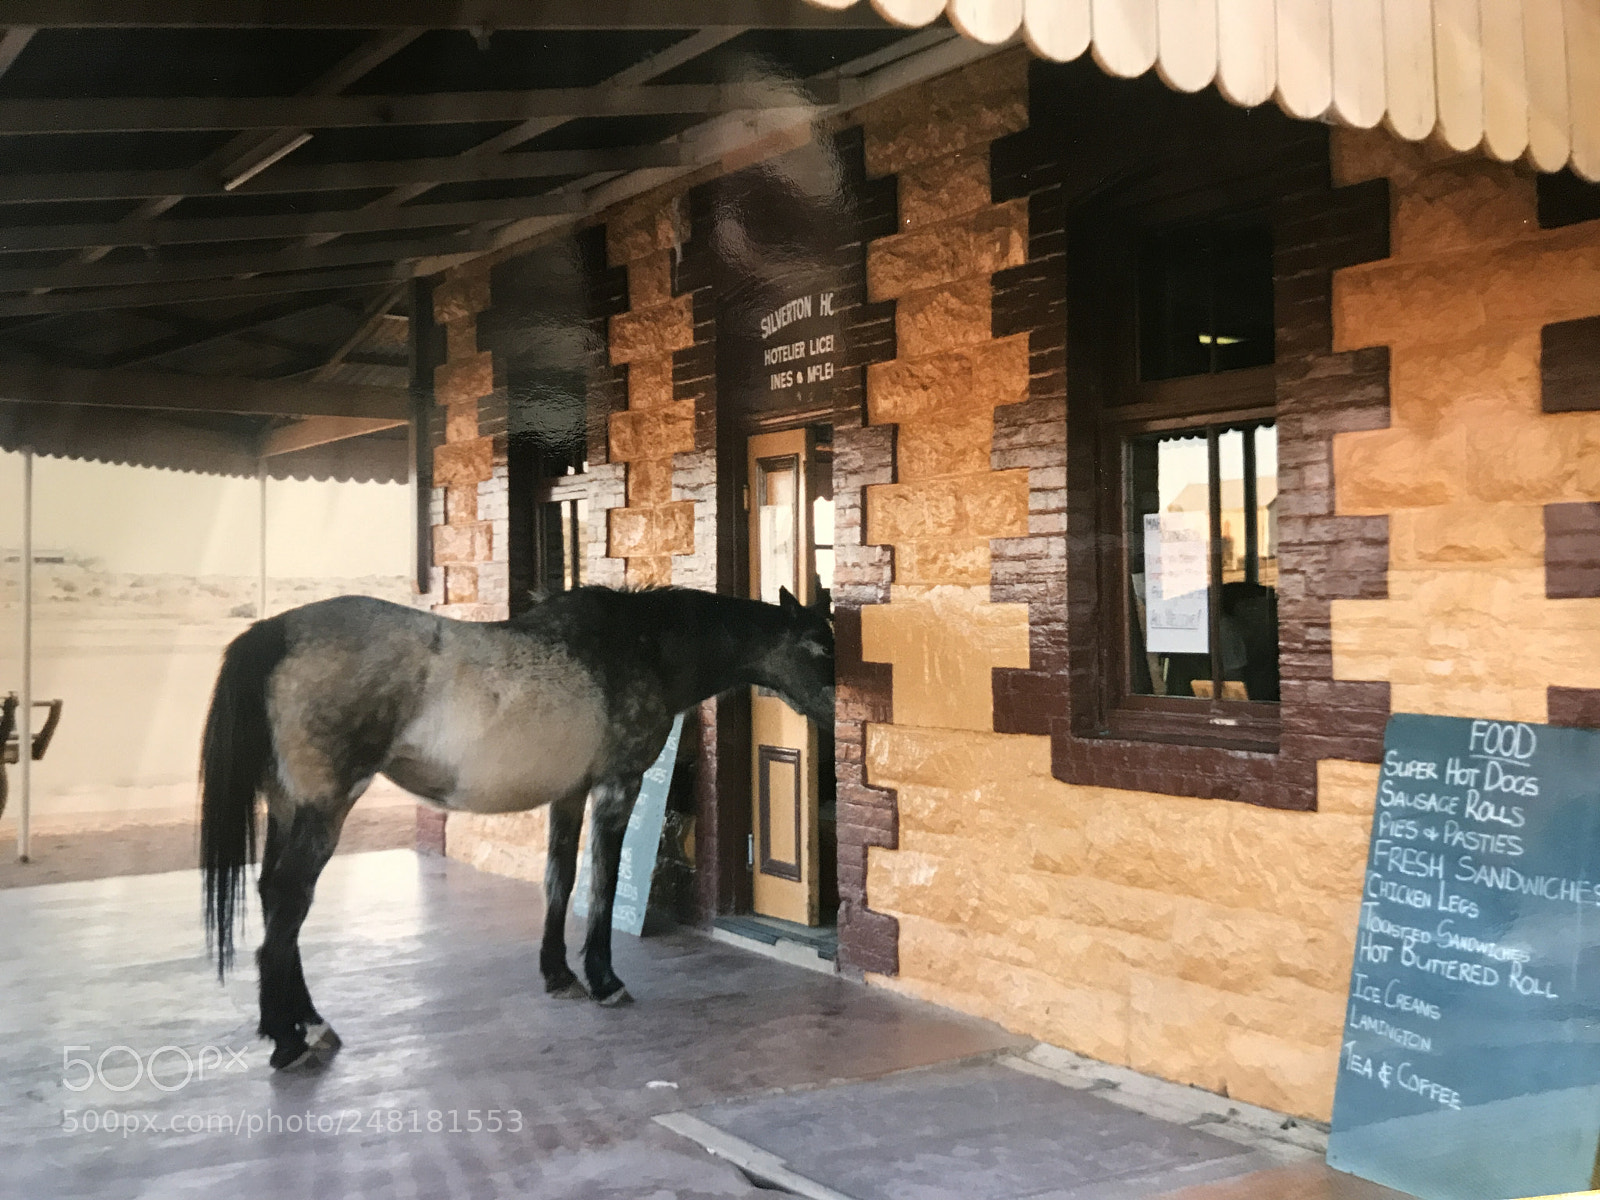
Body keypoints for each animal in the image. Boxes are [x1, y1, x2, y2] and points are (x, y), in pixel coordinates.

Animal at [199, 584, 834, 1070]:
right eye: (815, 647)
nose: (837, 719)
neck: (641, 647)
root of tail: (277, 631)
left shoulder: (570, 794)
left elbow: (560, 879)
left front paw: (558, 975)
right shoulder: (617, 786)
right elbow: (602, 885)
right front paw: (605, 980)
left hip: (288, 808)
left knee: (275, 898)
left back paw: (308, 1023)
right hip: (323, 810)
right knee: (289, 901)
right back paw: (288, 1041)